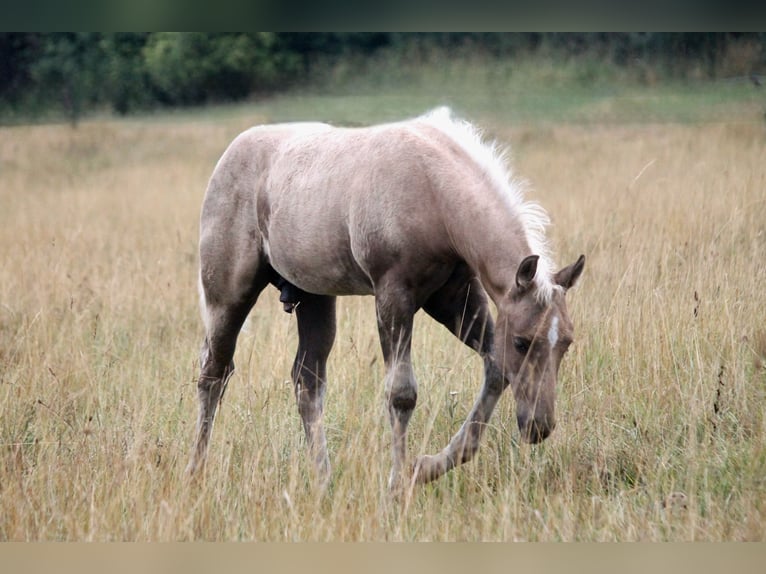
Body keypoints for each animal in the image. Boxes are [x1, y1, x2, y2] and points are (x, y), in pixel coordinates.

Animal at [186, 107, 585, 489]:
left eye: (566, 343)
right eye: (521, 342)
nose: (538, 427)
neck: (432, 190)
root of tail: (231, 153)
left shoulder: (455, 296)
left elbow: (496, 369)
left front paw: (427, 467)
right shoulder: (394, 296)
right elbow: (401, 393)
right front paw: (398, 482)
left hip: (314, 298)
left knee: (307, 381)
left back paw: (323, 481)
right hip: (229, 295)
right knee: (214, 373)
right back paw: (196, 472)